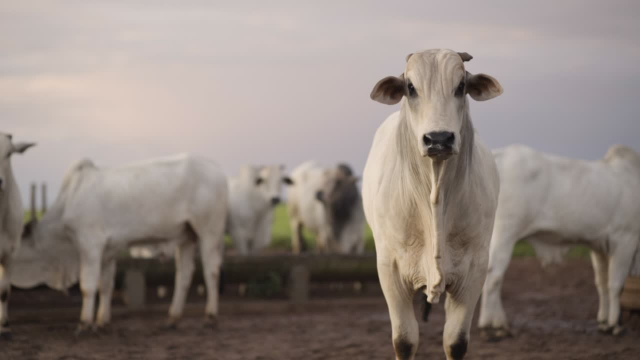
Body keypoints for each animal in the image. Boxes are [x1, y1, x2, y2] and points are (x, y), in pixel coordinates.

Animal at [10, 154, 228, 332]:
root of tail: (218, 170)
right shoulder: (108, 251)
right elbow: (106, 285)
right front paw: (102, 321)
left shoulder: (90, 245)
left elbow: (88, 286)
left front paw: (84, 323)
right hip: (186, 236)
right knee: (184, 274)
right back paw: (172, 318)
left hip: (209, 231)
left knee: (211, 270)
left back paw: (210, 316)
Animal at [362, 48, 502, 360]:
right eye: (410, 87)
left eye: (461, 86)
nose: (439, 138)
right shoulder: (389, 269)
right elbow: (404, 340)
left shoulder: (474, 270)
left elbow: (455, 341)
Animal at [478, 144, 640, 338]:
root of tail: (500, 153)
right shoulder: (625, 239)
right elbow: (616, 285)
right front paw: (615, 324)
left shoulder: (598, 246)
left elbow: (602, 283)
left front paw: (603, 321)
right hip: (505, 233)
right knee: (493, 276)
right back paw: (492, 325)